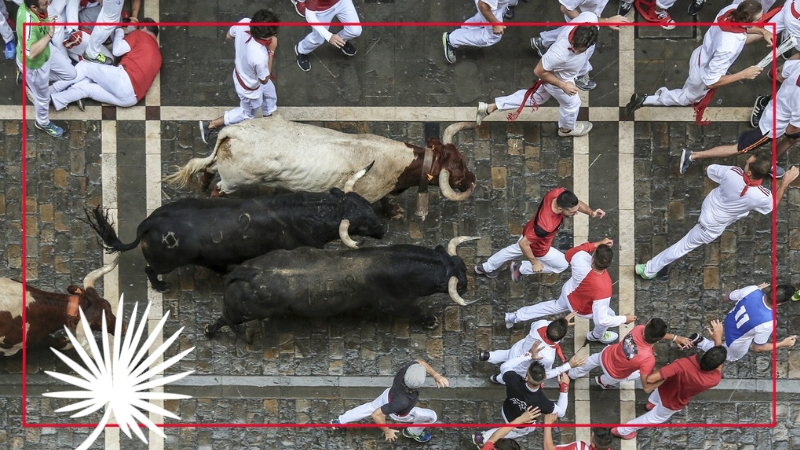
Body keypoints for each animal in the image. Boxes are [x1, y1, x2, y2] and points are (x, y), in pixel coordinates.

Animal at [86, 187, 386, 290]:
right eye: (363, 221)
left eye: (368, 205)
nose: (383, 229)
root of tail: (149, 223)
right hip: (165, 263)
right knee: (150, 270)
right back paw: (161, 287)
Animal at [162, 115, 476, 219]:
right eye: (458, 170)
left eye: (462, 159)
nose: (473, 178)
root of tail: (233, 132)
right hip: (234, 181)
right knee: (218, 189)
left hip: (224, 167)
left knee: (208, 170)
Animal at [206, 237, 482, 342]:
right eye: (461, 280)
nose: (468, 285)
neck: (391, 262)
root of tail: (247, 271)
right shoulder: (395, 304)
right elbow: (416, 311)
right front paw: (431, 321)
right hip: (244, 312)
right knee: (225, 319)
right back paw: (211, 331)